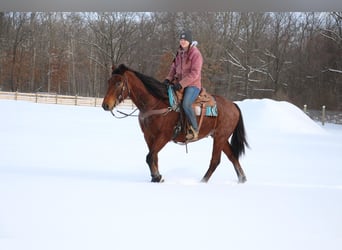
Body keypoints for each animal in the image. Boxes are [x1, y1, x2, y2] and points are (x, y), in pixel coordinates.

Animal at [101, 63, 248, 183]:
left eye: (119, 83)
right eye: (108, 81)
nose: (105, 105)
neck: (155, 103)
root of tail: (233, 105)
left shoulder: (164, 136)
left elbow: (150, 156)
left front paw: (157, 177)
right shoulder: (148, 136)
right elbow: (154, 157)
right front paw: (156, 177)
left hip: (220, 137)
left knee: (215, 161)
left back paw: (202, 181)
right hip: (220, 137)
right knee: (232, 157)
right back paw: (242, 179)